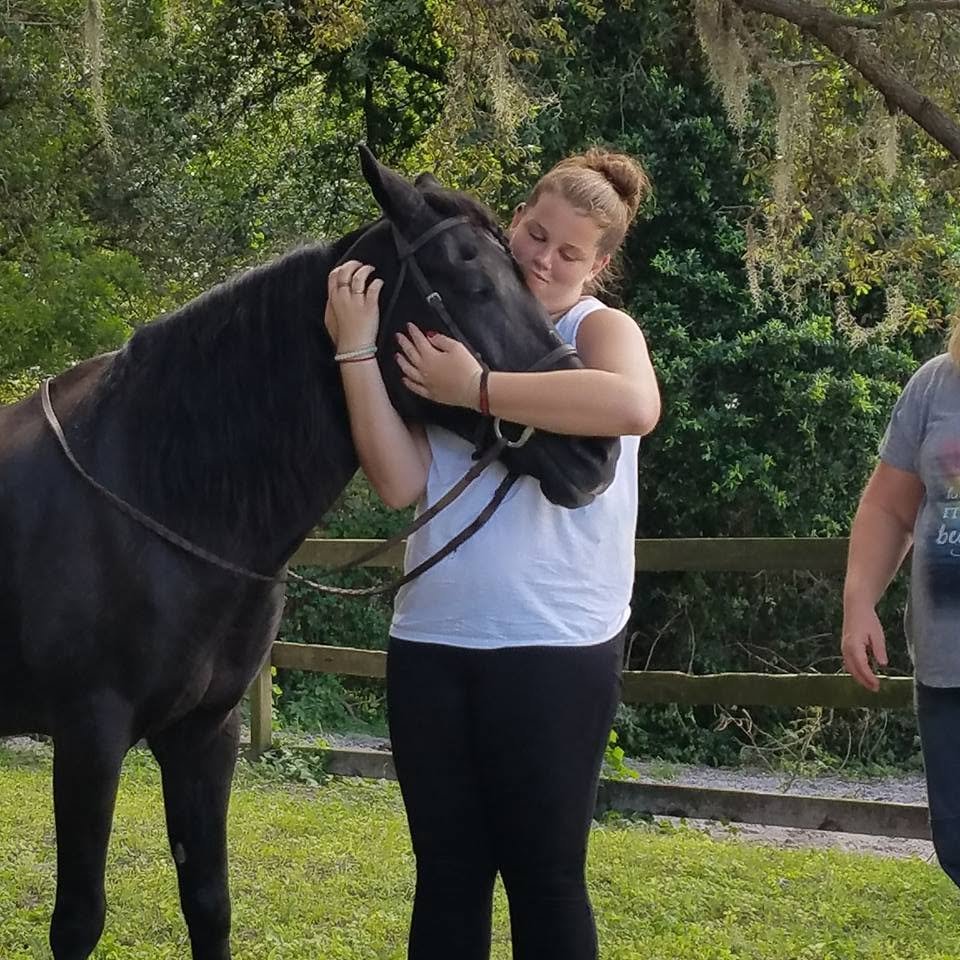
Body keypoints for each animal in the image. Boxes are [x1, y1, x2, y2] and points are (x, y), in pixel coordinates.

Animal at [0, 146, 620, 960]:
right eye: (472, 283)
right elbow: (78, 919)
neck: (151, 491)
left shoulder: (205, 735)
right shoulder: (88, 737)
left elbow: (208, 901)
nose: (596, 451)